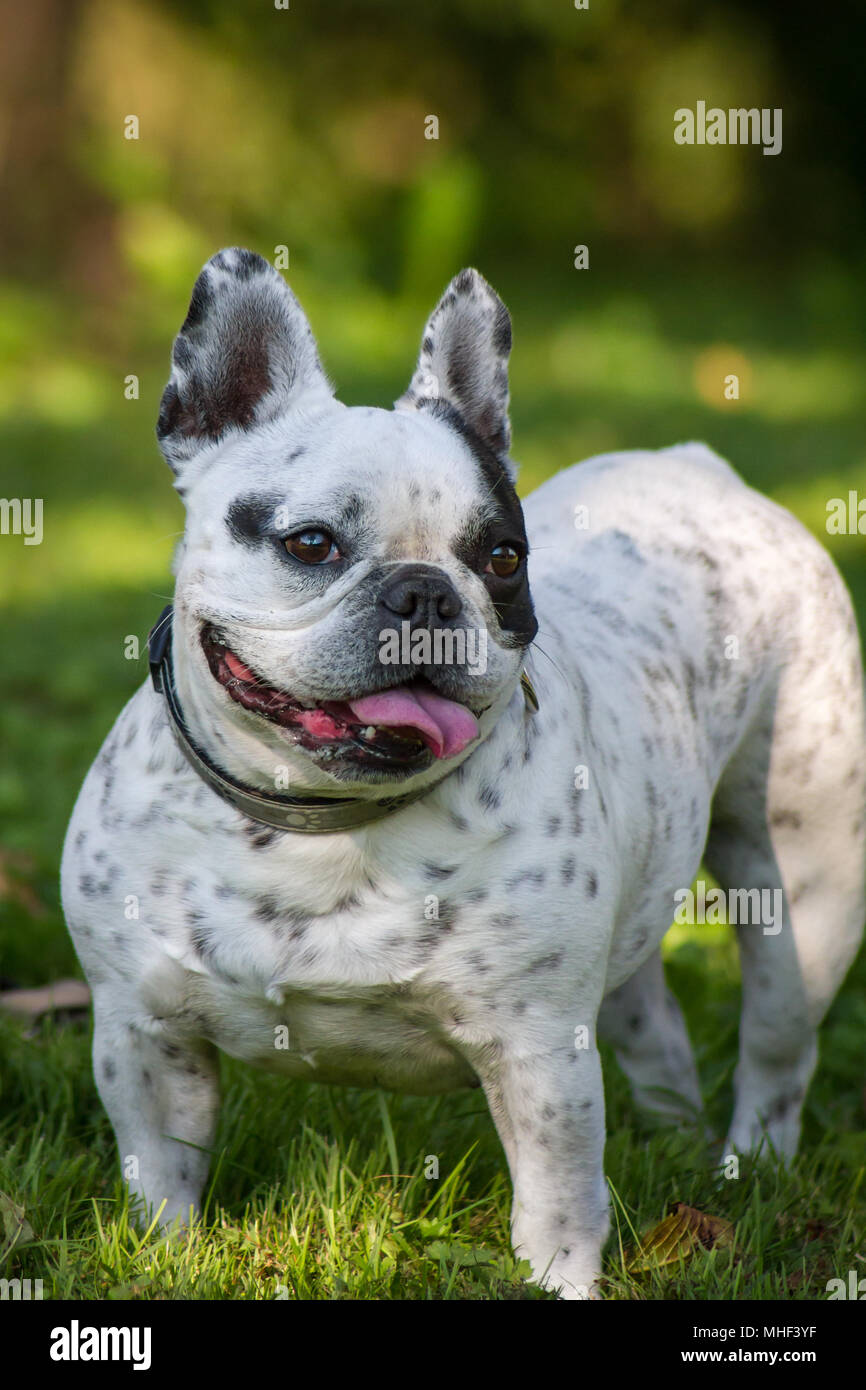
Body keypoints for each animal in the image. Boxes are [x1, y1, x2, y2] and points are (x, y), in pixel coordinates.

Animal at [62, 247, 866, 1289]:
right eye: (310, 543)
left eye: (504, 557)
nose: (427, 592)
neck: (320, 820)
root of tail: (702, 466)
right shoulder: (143, 1036)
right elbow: (162, 1175)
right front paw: (167, 1263)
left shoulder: (539, 1055)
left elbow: (557, 1202)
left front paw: (561, 1284)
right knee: (653, 1023)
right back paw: (675, 1142)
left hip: (802, 890)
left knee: (777, 1045)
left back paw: (748, 1167)